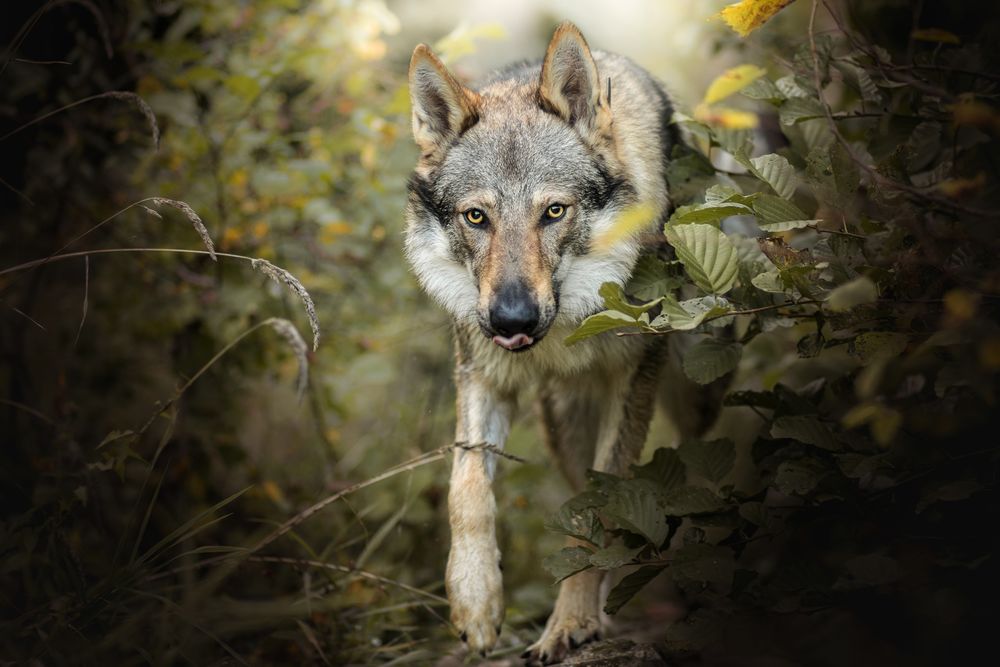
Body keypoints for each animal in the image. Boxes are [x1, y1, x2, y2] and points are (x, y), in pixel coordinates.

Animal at [402, 19, 716, 664]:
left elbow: (604, 506)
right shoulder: (482, 374)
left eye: (553, 211)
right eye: (476, 218)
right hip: (562, 426)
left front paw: (570, 622)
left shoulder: (634, 380)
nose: (511, 319)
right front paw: (475, 602)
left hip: (690, 389)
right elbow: (466, 489)